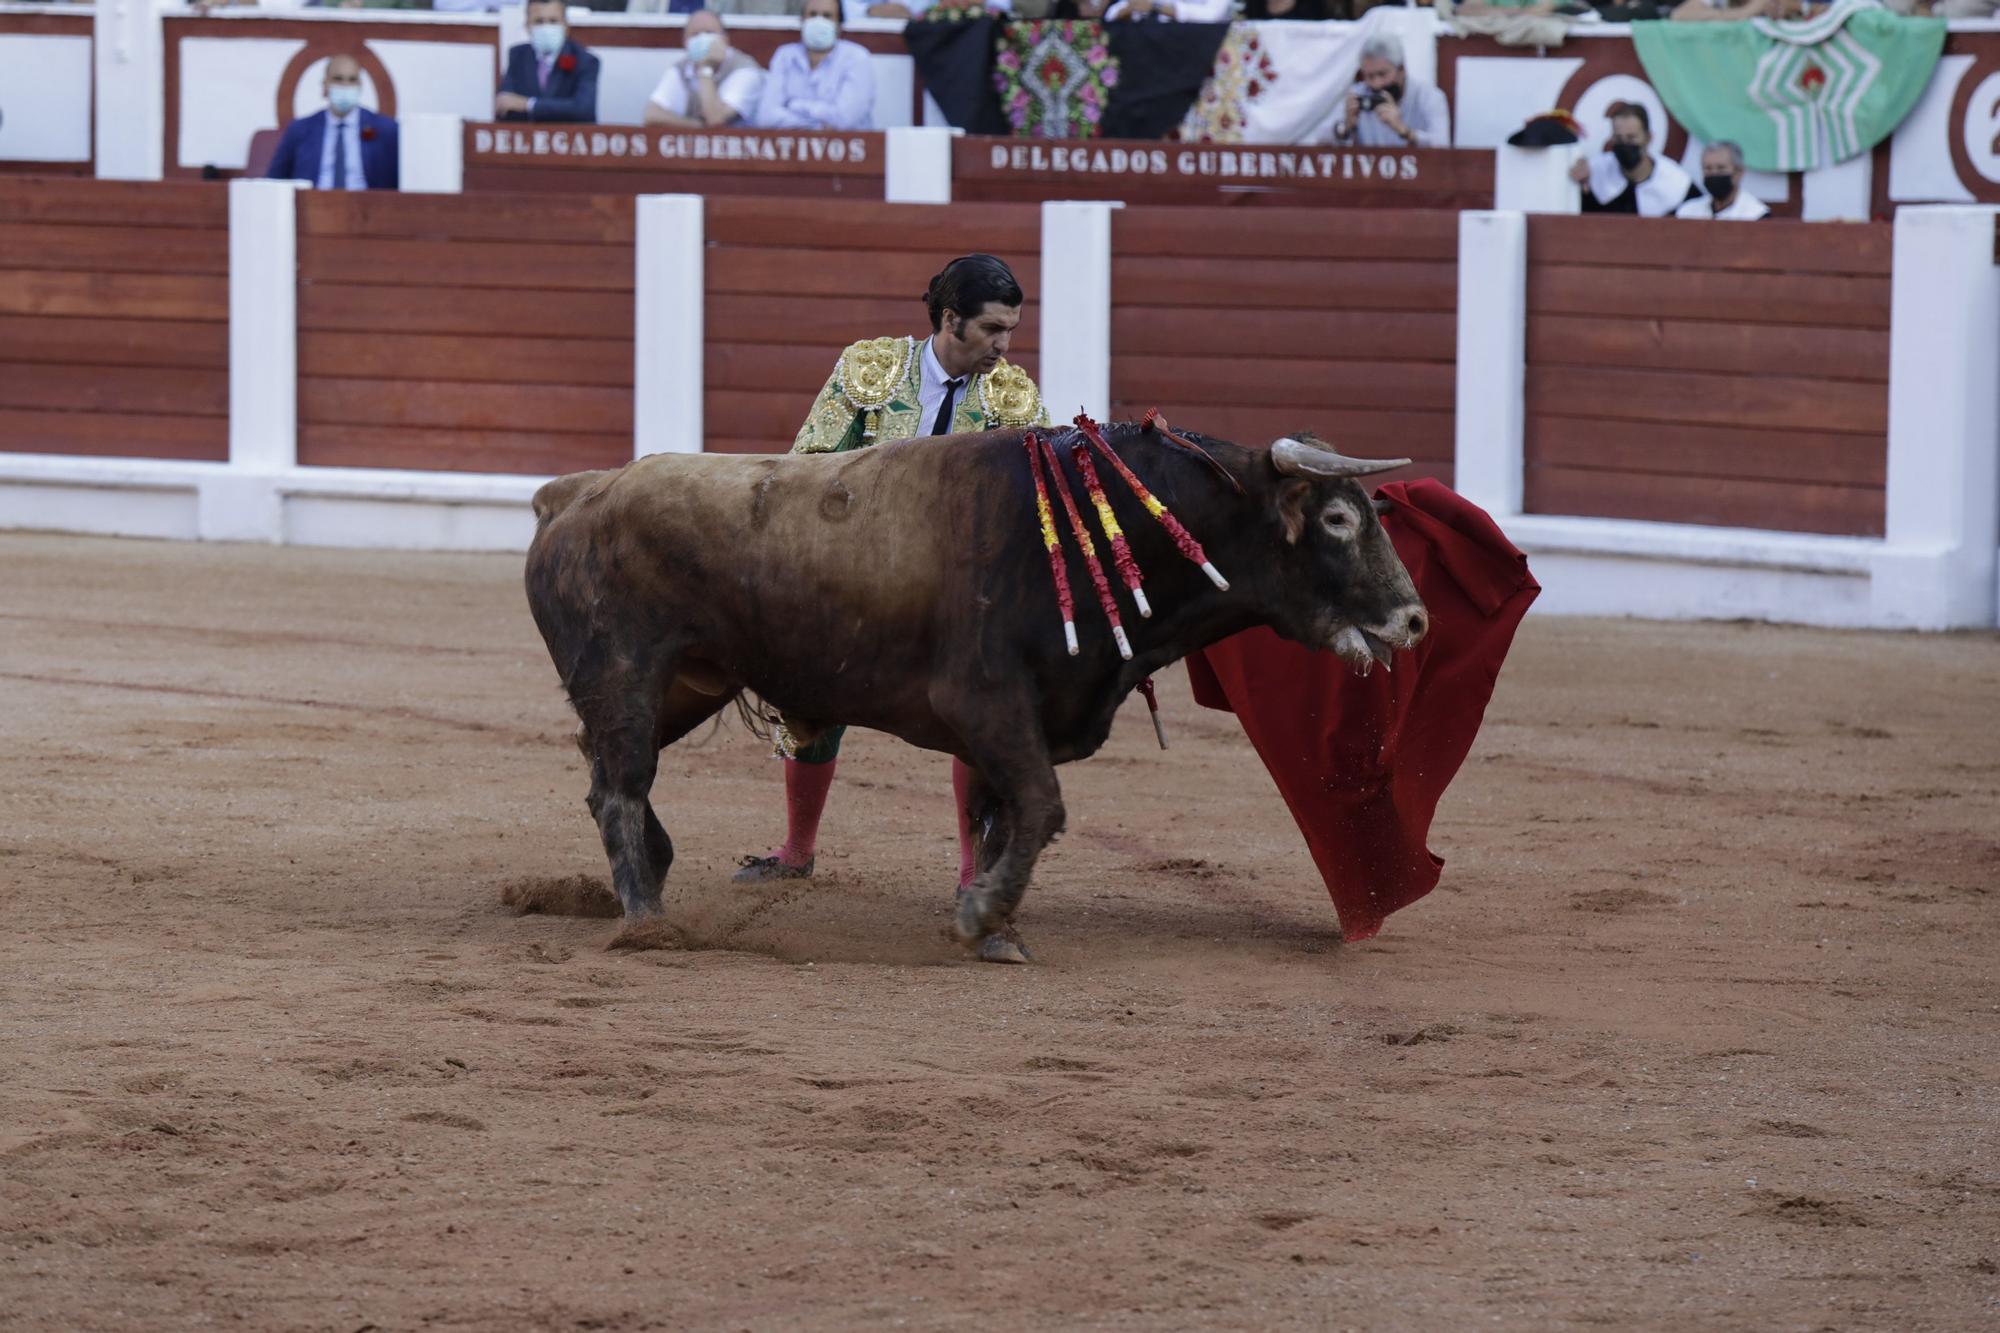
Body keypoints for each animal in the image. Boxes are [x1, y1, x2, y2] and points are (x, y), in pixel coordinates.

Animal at [516, 422, 1424, 956]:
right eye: (1339, 520)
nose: (1415, 619)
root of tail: (573, 492)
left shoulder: (1020, 719)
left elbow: (1001, 816)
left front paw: (995, 925)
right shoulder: (986, 702)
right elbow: (1043, 805)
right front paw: (984, 914)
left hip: (683, 685)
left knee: (606, 775)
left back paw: (656, 873)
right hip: (625, 673)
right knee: (620, 786)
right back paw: (645, 920)